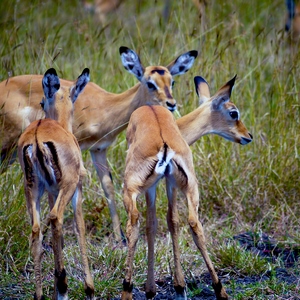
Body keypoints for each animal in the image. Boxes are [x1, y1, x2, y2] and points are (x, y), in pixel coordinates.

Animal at [0, 47, 198, 244]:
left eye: (172, 82)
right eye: (150, 83)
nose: (171, 104)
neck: (105, 106)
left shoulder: (98, 149)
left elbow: (108, 188)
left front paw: (119, 238)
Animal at [17, 68, 94, 300]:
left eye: (42, 102)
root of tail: (36, 138)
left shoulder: (52, 192)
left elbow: (54, 237)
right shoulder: (77, 190)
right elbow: (79, 228)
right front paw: (89, 289)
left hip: (32, 190)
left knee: (36, 230)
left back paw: (41, 294)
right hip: (66, 188)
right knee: (55, 217)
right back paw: (62, 284)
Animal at [121, 75, 251, 300]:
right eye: (233, 112)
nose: (248, 135)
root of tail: (164, 143)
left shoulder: (157, 187)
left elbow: (157, 224)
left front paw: (156, 289)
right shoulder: (167, 184)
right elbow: (168, 222)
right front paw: (176, 287)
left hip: (133, 189)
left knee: (135, 223)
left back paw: (127, 289)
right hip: (189, 187)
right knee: (194, 223)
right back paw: (220, 290)